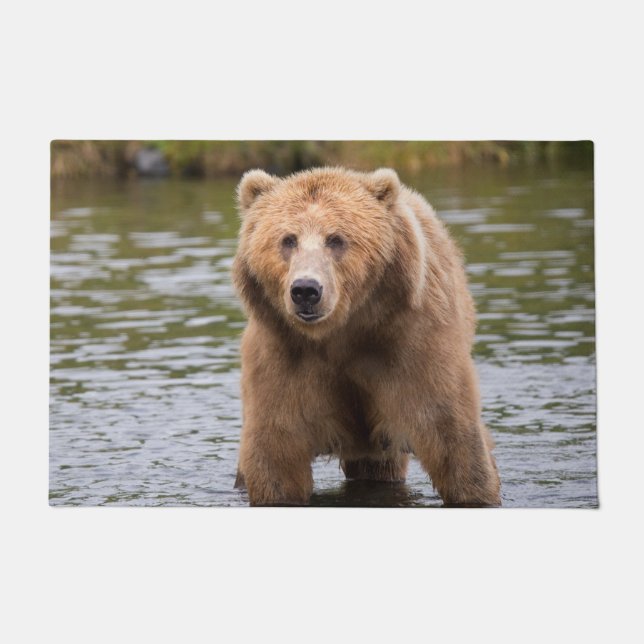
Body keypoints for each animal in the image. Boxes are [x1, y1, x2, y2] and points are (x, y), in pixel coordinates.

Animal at [231, 166, 501, 506]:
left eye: (336, 239)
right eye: (288, 239)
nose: (306, 290)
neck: (343, 331)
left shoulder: (412, 345)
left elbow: (452, 436)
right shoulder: (283, 356)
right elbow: (277, 453)